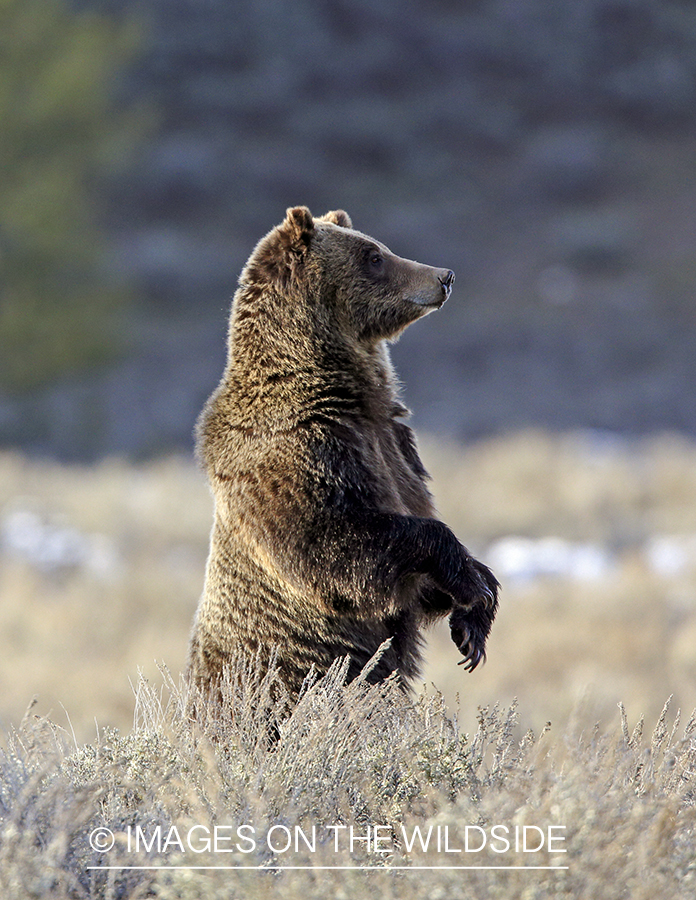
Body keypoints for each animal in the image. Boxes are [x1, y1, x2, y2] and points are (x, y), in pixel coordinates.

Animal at [186, 209, 500, 704]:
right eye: (373, 256)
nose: (444, 276)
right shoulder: (304, 452)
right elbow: (333, 543)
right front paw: (471, 583)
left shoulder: (396, 446)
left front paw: (475, 619)